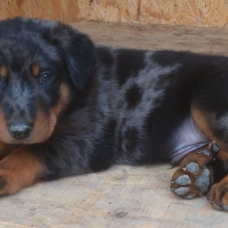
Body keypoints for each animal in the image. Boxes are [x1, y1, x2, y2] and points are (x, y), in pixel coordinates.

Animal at [0, 17, 228, 212]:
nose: (19, 131)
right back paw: (196, 172)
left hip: (207, 96)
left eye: (45, 76)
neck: (73, 94)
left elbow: (29, 152)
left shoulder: (86, 141)